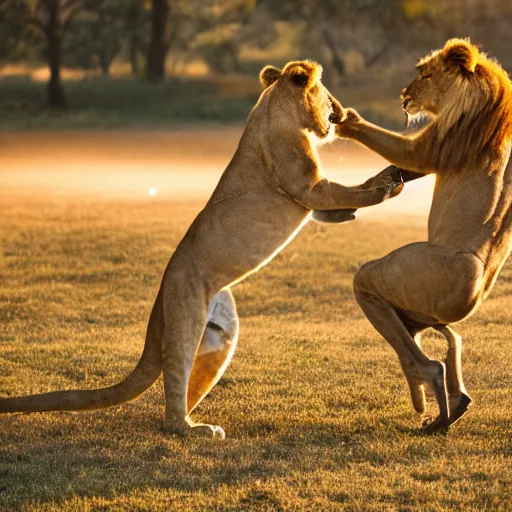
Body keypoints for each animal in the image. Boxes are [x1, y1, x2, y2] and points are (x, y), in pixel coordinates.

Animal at [0, 59, 404, 436]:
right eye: (324, 94)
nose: (339, 113)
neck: (274, 103)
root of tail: (161, 296)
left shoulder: (313, 197)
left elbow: (337, 204)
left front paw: (379, 183)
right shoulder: (306, 186)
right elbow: (347, 192)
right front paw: (384, 188)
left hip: (220, 337)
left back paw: (197, 419)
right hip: (186, 315)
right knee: (172, 391)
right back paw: (190, 428)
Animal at [330, 39, 510, 432]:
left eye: (426, 75)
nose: (403, 97)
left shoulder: (440, 138)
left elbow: (406, 153)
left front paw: (345, 118)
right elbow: (403, 167)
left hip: (393, 278)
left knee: (417, 348)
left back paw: (431, 387)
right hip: (421, 309)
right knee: (441, 334)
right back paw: (454, 403)